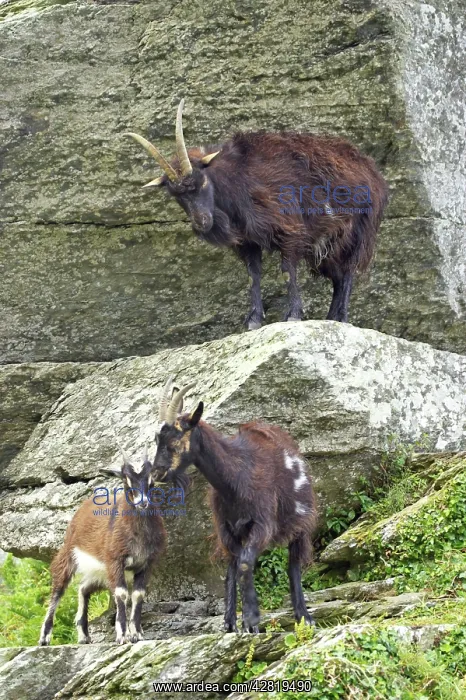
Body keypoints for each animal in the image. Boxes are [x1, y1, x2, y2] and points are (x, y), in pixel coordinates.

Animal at [39, 445, 165, 646]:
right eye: (126, 480)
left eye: (151, 480)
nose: (143, 502)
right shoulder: (115, 560)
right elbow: (121, 593)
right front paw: (122, 635)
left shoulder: (147, 564)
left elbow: (138, 594)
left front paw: (137, 634)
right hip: (69, 555)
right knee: (58, 589)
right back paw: (44, 638)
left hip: (100, 572)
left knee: (83, 588)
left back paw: (84, 635)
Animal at [126, 100, 388, 327]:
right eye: (176, 195)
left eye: (201, 182)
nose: (202, 222)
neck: (238, 178)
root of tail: (372, 170)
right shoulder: (247, 241)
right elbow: (254, 275)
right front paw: (253, 321)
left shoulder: (290, 229)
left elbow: (287, 271)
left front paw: (293, 315)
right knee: (337, 276)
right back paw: (332, 317)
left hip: (358, 233)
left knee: (348, 272)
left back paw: (341, 318)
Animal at [152, 377, 317, 633]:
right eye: (156, 439)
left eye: (177, 438)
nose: (156, 473)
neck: (237, 477)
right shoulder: (226, 528)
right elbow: (235, 568)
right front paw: (239, 621)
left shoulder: (262, 523)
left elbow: (245, 566)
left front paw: (252, 620)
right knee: (232, 564)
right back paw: (229, 622)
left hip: (301, 519)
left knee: (294, 563)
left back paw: (304, 616)